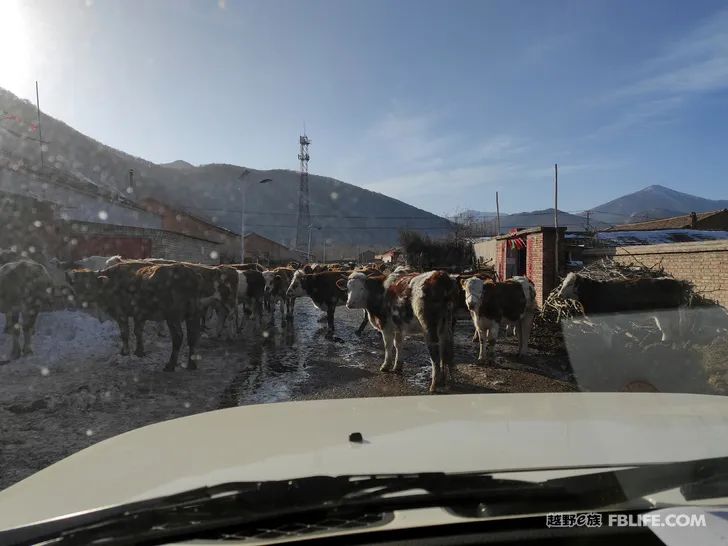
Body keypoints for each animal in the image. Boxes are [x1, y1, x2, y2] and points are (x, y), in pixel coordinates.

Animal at [68, 260, 205, 370]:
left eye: (89, 284)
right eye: (76, 285)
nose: (79, 301)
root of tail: (188, 273)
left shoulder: (121, 313)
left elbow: (125, 333)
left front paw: (125, 352)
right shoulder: (139, 315)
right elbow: (138, 331)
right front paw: (139, 351)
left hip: (173, 317)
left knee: (178, 337)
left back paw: (170, 365)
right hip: (194, 314)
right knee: (193, 336)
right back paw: (191, 365)